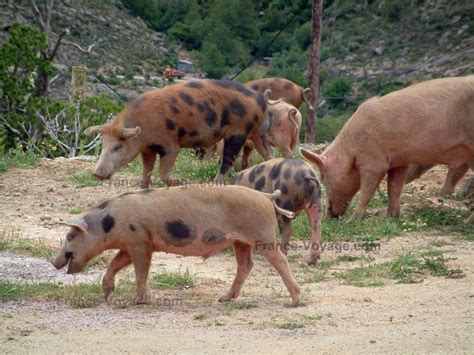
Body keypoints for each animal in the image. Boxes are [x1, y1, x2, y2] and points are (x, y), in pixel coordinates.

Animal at [52, 186, 300, 306]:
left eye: (70, 235)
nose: (54, 262)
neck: (110, 223)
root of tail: (266, 196)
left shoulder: (139, 241)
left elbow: (140, 269)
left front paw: (136, 301)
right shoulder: (132, 243)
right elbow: (116, 263)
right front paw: (106, 294)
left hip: (262, 233)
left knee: (280, 260)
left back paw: (296, 300)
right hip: (240, 241)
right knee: (245, 265)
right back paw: (224, 299)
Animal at [83, 79, 272, 188]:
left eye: (118, 146)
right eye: (103, 145)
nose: (96, 174)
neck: (144, 126)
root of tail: (260, 100)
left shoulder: (170, 144)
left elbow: (163, 172)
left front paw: (178, 184)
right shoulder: (147, 148)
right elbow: (147, 170)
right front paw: (144, 187)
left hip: (238, 132)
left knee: (228, 159)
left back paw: (215, 183)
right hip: (258, 133)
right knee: (268, 152)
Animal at [300, 77, 474, 221]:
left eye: (323, 177)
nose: (329, 216)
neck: (350, 150)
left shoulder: (374, 162)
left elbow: (366, 192)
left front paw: (352, 221)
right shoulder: (399, 162)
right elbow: (394, 188)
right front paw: (392, 217)